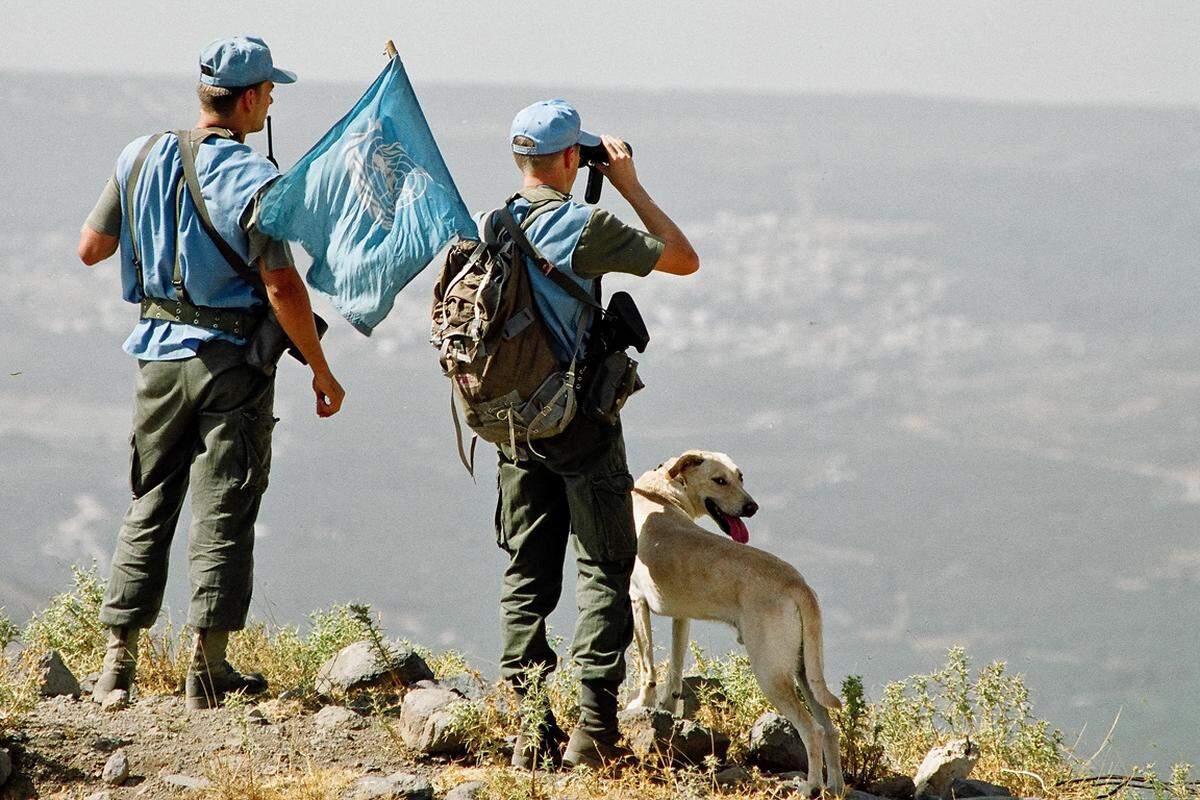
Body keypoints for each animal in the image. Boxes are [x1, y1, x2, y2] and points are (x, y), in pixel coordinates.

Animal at [628, 453, 844, 796]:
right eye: (721, 480)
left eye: (739, 477)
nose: (752, 507)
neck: (659, 494)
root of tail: (798, 584)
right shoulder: (682, 616)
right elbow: (674, 671)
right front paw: (667, 710)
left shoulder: (636, 600)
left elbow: (647, 667)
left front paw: (642, 705)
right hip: (805, 670)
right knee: (829, 728)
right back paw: (835, 786)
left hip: (771, 674)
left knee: (811, 730)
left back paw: (809, 787)